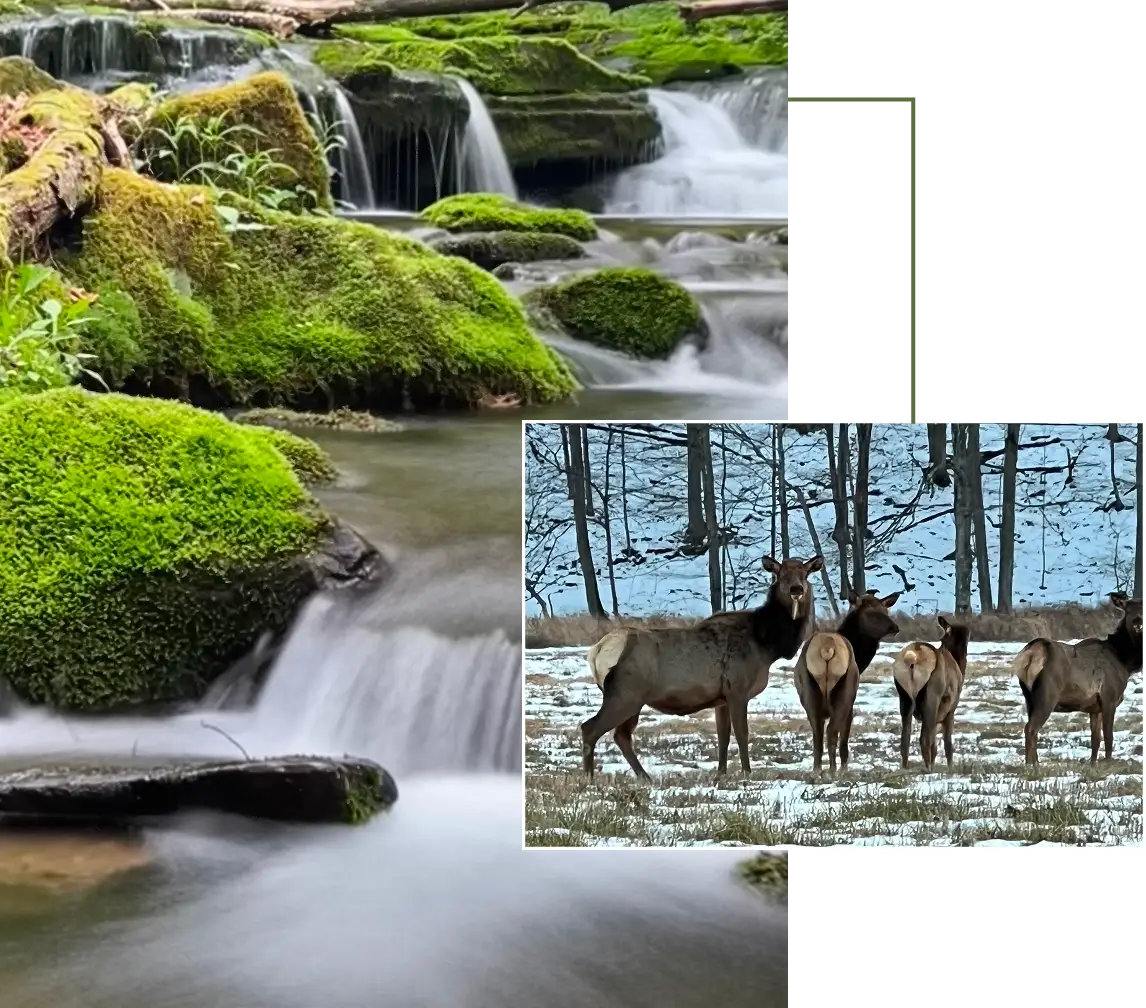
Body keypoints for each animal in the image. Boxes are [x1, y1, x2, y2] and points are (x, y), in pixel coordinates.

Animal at [582, 555, 823, 781]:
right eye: (781, 575)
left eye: (805, 574)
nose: (796, 589)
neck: (767, 645)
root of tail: (597, 651)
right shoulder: (738, 689)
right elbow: (742, 733)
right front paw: (746, 772)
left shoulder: (722, 698)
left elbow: (723, 735)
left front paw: (721, 773)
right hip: (626, 694)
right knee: (590, 728)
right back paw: (590, 778)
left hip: (632, 699)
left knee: (620, 735)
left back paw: (645, 777)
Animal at [792, 590, 901, 777]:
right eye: (871, 613)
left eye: (885, 610)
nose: (894, 627)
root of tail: (827, 648)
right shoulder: (851, 703)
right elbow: (845, 736)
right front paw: (844, 768)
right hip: (845, 690)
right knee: (832, 731)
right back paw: (834, 770)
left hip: (808, 689)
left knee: (817, 732)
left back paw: (817, 770)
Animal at [891, 615, 971, 771]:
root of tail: (912, 659)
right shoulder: (950, 710)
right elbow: (947, 744)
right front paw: (950, 768)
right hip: (932, 696)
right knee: (924, 739)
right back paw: (928, 769)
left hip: (904, 698)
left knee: (905, 740)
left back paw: (905, 768)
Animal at [1012, 591, 1142, 765]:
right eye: (1127, 610)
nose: (1137, 621)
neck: (1125, 662)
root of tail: (1032, 653)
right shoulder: (1109, 697)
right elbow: (1109, 737)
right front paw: (1108, 764)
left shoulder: (1095, 708)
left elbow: (1096, 739)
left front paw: (1093, 764)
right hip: (1047, 694)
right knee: (1030, 728)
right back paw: (1031, 766)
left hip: (1028, 698)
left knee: (1033, 729)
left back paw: (1036, 764)